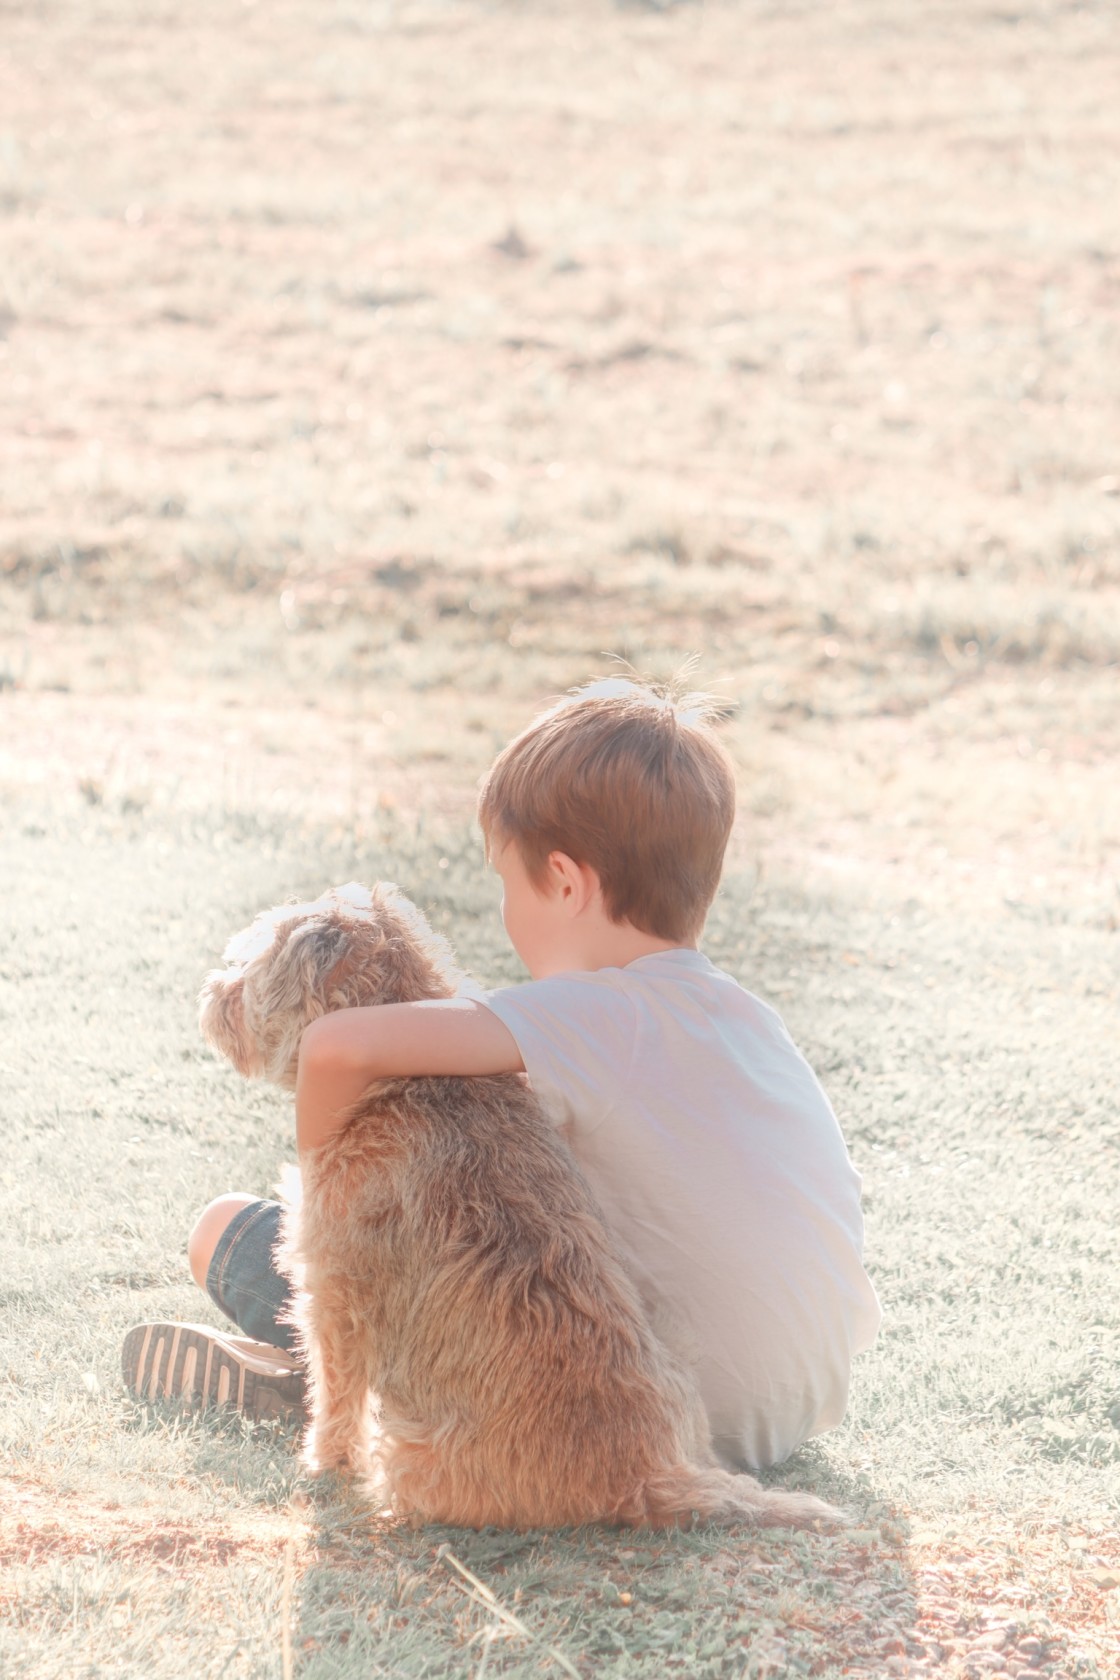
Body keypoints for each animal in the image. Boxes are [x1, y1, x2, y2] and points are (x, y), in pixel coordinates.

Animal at [198, 880, 839, 1538]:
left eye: (247, 963)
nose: (213, 995)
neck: (404, 1081)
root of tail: (651, 1473)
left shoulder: (332, 1297)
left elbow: (334, 1394)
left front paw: (322, 1463)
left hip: (409, 1448)